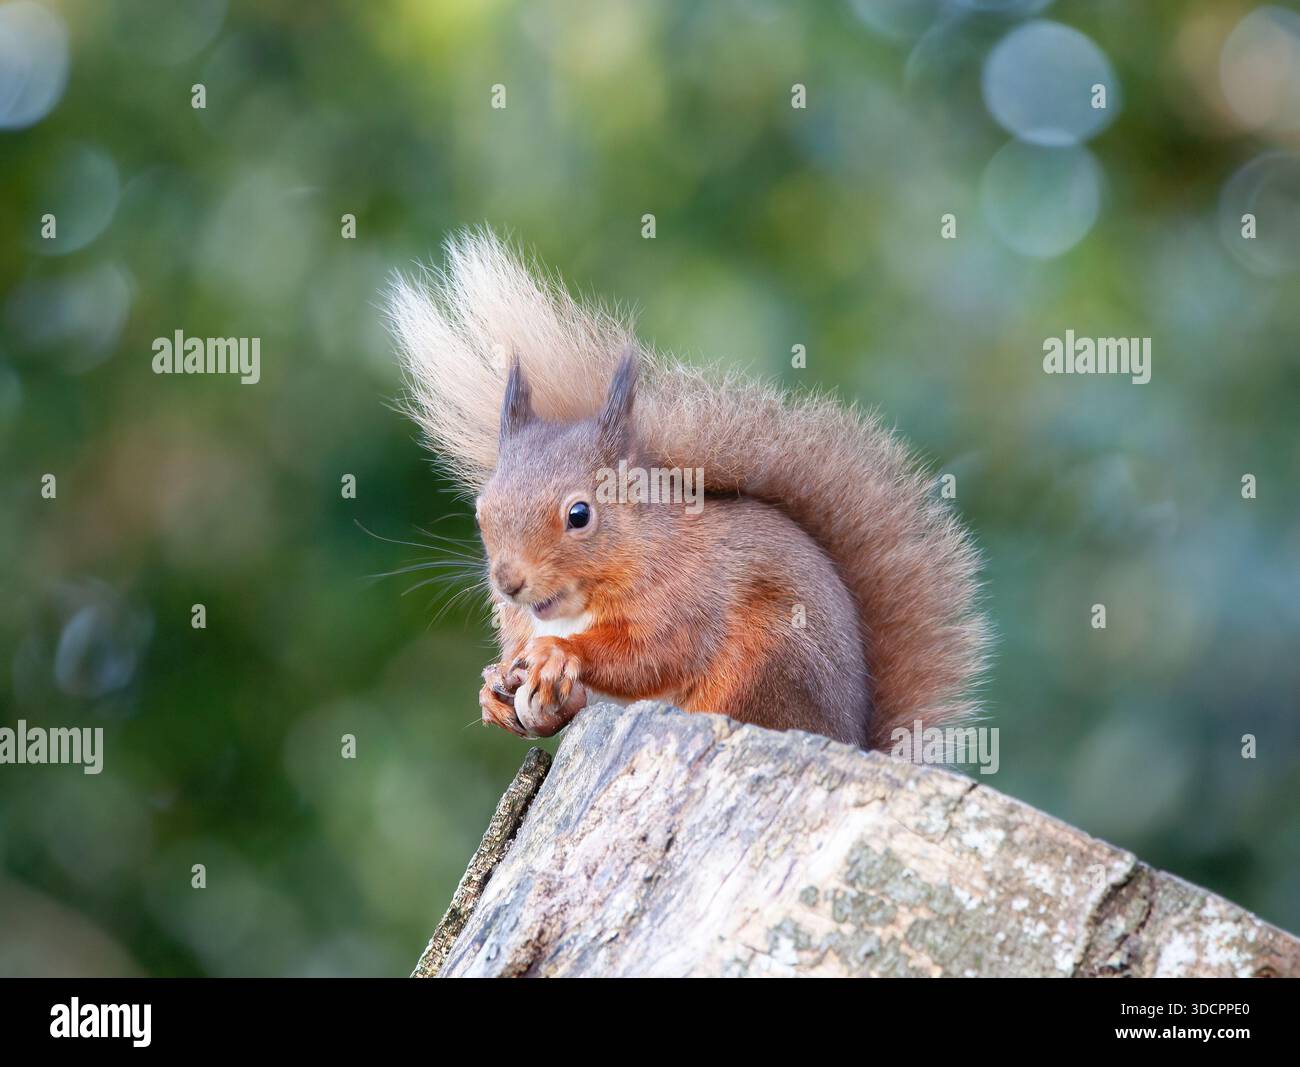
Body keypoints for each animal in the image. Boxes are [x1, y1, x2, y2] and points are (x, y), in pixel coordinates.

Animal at [387, 230, 987, 750]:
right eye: (481, 514)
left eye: (580, 514)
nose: (508, 583)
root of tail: (849, 739)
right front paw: (493, 690)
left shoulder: (689, 594)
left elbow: (655, 654)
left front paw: (556, 651)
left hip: (764, 666)